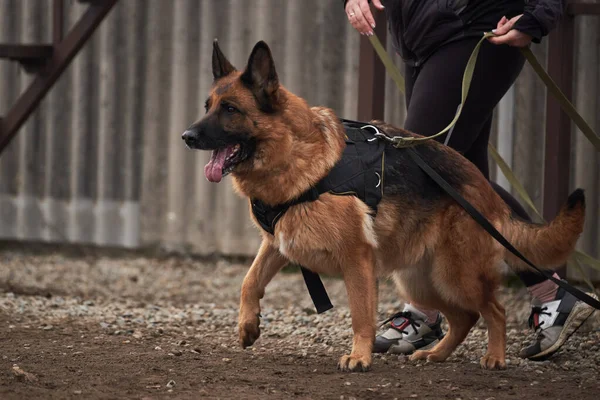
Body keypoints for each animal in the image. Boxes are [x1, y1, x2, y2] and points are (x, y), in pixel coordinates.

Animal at [183, 40, 584, 372]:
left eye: (230, 109)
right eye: (208, 106)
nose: (186, 136)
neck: (297, 154)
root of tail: (485, 191)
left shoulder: (356, 259)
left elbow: (362, 315)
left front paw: (359, 357)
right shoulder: (277, 243)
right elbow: (249, 281)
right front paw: (247, 324)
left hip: (455, 276)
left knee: (494, 310)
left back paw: (496, 357)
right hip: (421, 282)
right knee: (464, 318)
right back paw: (436, 354)